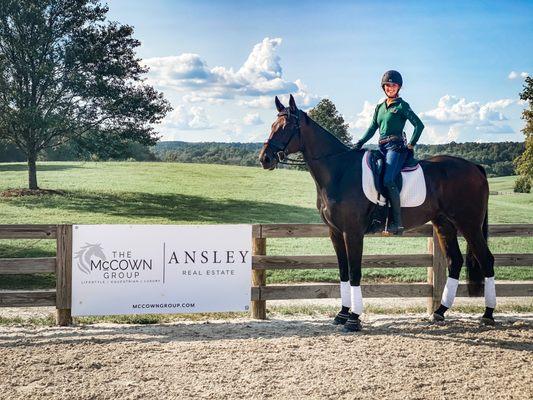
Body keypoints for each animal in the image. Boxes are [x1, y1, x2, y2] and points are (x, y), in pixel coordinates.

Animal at [258, 94, 494, 332]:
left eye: (286, 126)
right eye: (272, 125)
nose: (264, 158)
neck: (339, 170)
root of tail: (474, 167)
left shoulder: (352, 232)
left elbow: (355, 273)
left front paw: (354, 318)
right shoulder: (335, 233)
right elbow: (343, 273)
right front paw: (342, 314)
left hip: (469, 224)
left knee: (486, 260)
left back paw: (488, 314)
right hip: (444, 224)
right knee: (455, 261)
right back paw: (440, 312)